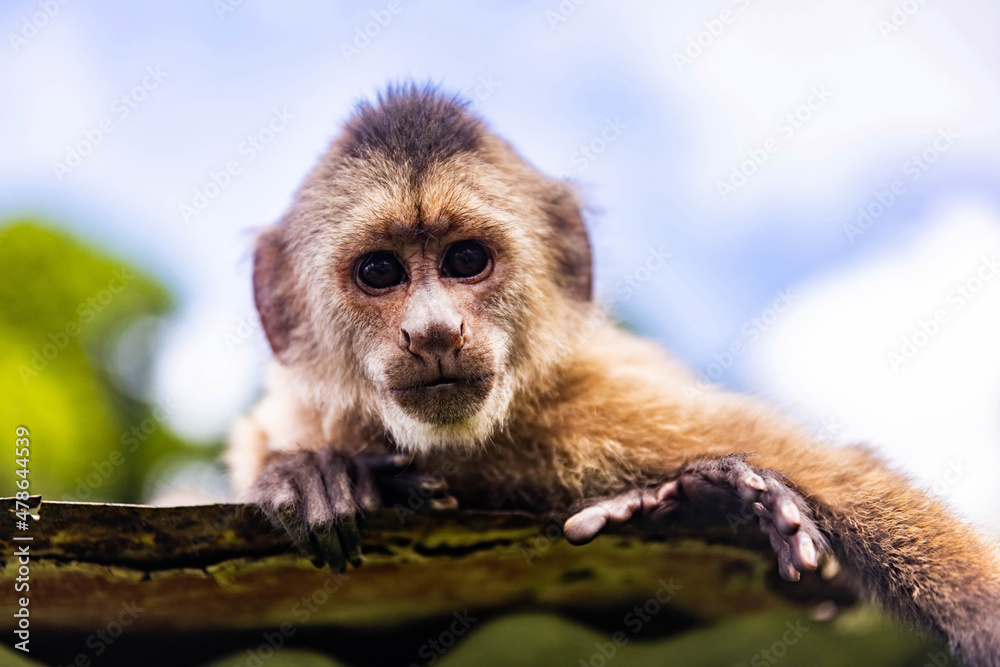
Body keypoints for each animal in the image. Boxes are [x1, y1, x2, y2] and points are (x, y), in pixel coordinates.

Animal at [227, 85, 1000, 666]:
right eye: (380, 271)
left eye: (466, 260)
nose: (436, 332)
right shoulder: (315, 409)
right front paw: (311, 473)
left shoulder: (593, 405)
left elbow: (849, 480)